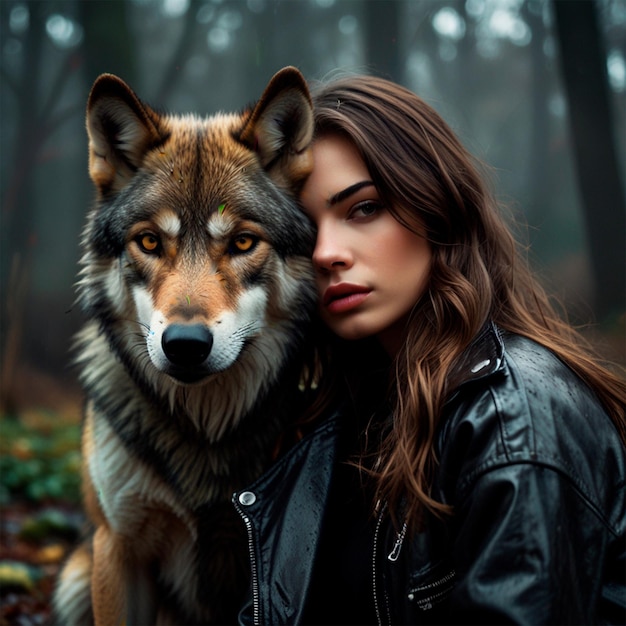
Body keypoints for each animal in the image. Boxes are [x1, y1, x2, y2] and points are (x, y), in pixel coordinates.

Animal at [52, 66, 316, 620]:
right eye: (150, 241)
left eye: (242, 242)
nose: (186, 344)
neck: (204, 428)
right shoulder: (118, 547)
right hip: (74, 581)